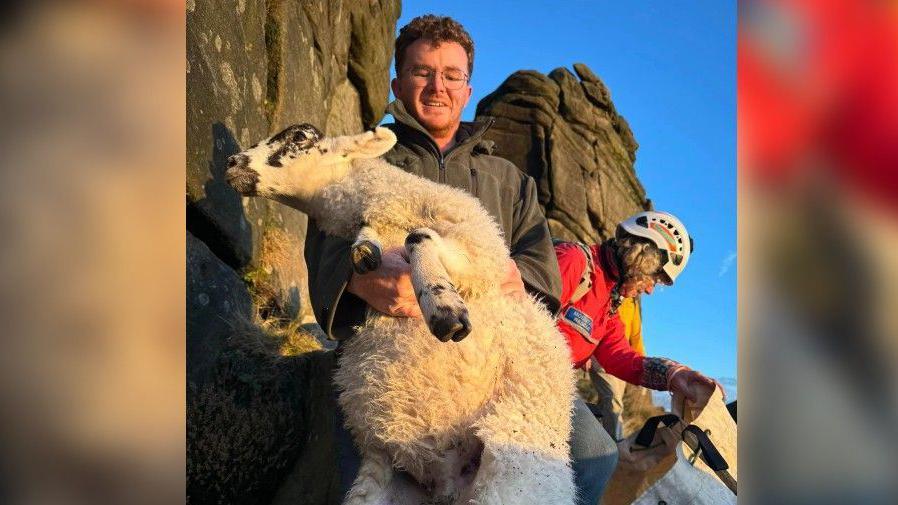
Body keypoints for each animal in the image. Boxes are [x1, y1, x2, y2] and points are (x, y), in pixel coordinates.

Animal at [224, 123, 576, 504]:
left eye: (300, 138)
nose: (232, 162)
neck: (389, 203)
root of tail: (449, 487)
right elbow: (368, 247)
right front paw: (366, 251)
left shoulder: (481, 254)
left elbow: (418, 238)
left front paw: (444, 308)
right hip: (382, 477)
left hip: (515, 464)